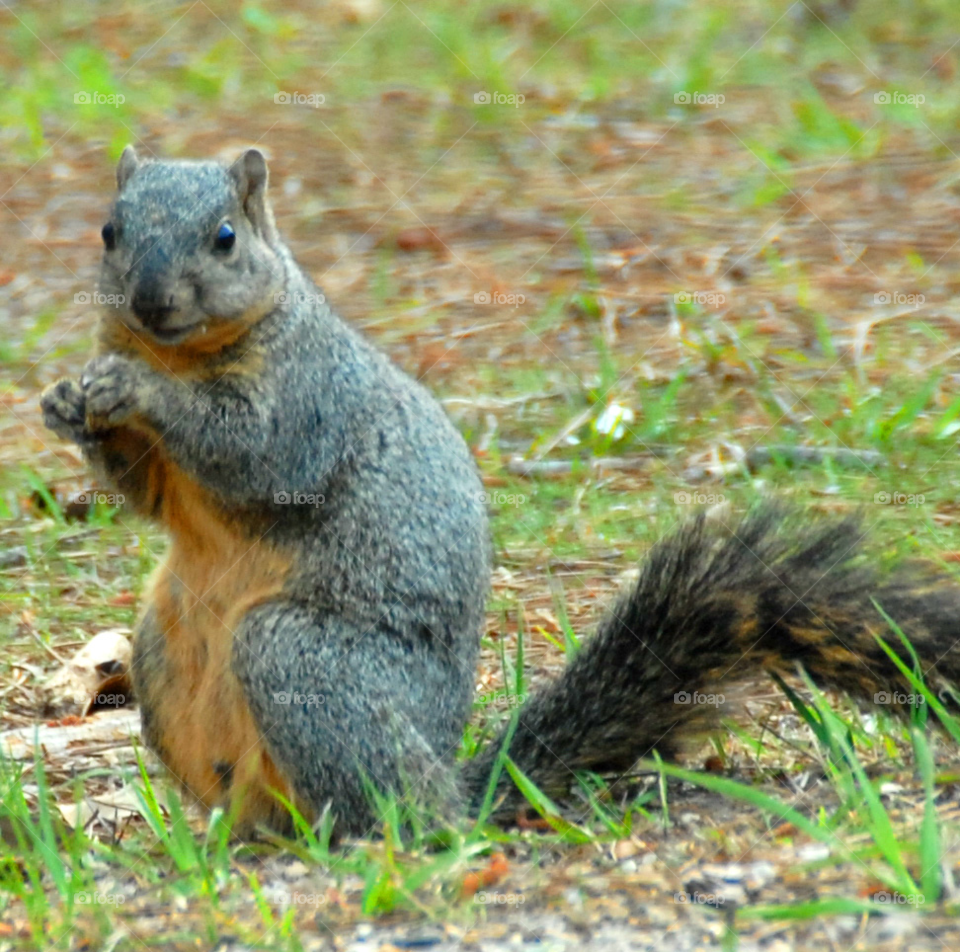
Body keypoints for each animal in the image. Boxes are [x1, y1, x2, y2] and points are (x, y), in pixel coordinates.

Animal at [40, 146, 960, 838]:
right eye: (109, 230)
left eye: (226, 237)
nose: (148, 300)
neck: (181, 354)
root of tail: (446, 783)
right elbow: (147, 494)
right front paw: (66, 404)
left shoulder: (311, 397)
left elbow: (256, 453)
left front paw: (130, 391)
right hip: (162, 651)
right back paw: (230, 836)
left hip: (304, 661)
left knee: (383, 808)